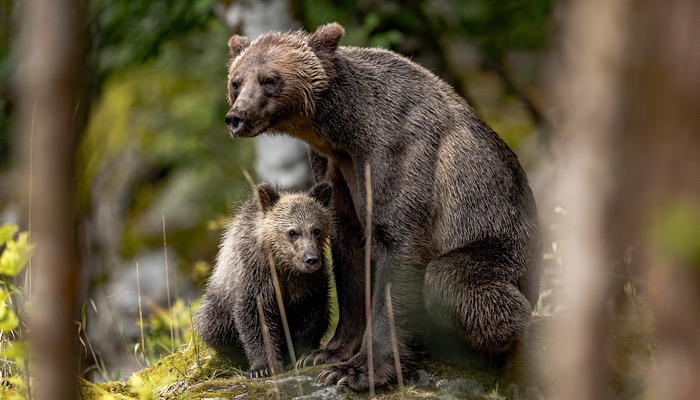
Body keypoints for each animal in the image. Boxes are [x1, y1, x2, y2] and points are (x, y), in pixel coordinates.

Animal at [195, 181, 333, 377]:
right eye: (292, 232)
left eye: (316, 230)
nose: (311, 259)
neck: (283, 266)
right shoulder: (256, 278)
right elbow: (256, 320)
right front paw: (262, 367)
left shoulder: (309, 284)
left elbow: (310, 316)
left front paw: (302, 356)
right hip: (218, 305)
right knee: (212, 326)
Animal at [222, 23, 541, 389]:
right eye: (236, 81)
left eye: (269, 79)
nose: (236, 117)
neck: (345, 131)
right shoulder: (333, 168)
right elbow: (350, 252)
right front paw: (328, 353)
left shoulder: (396, 154)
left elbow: (398, 246)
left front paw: (357, 370)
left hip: (502, 250)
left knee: (452, 281)